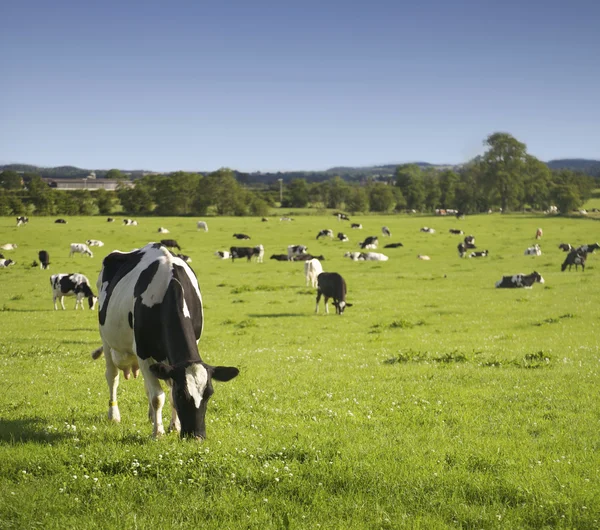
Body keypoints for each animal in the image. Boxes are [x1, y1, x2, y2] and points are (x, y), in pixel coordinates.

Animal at [92, 243, 238, 438]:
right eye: (182, 394)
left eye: (209, 394)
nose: (197, 436)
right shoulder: (143, 352)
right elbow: (158, 397)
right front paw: (158, 432)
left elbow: (164, 392)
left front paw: (174, 426)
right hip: (107, 340)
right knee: (112, 377)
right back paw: (114, 415)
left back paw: (151, 417)